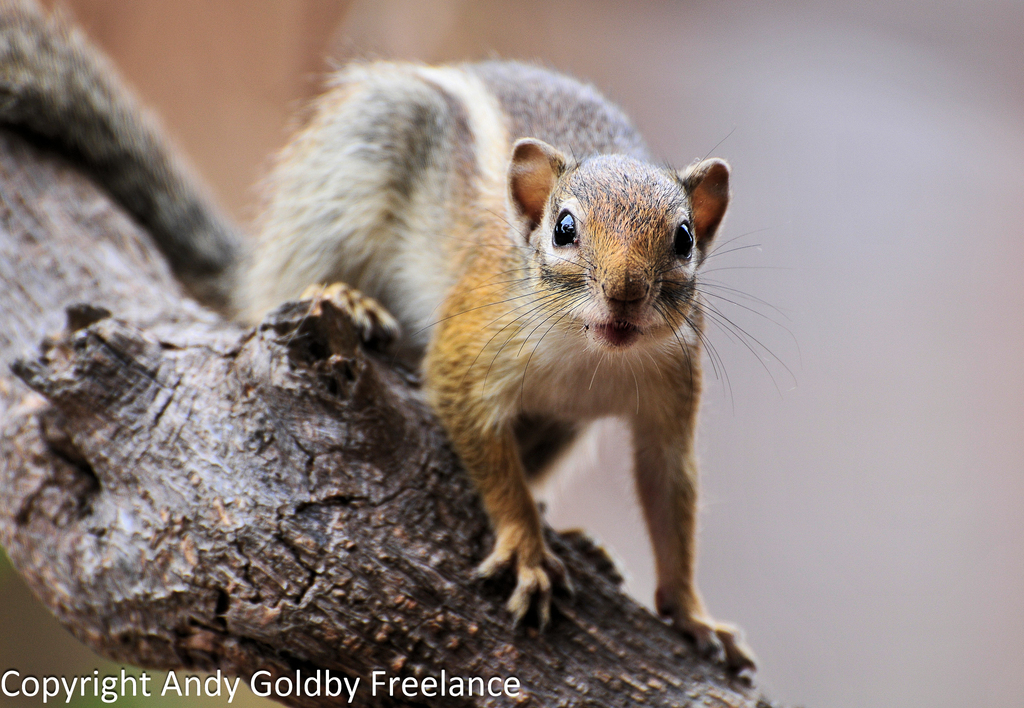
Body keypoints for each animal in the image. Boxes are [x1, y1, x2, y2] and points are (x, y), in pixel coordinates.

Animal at [0, 0, 754, 672]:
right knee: (283, 284)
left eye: (683, 238)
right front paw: (525, 544)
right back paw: (342, 298)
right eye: (564, 228)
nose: (625, 294)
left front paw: (690, 612)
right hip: (355, 165)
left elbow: (669, 490)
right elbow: (485, 449)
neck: (589, 352)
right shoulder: (466, 349)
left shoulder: (669, 394)